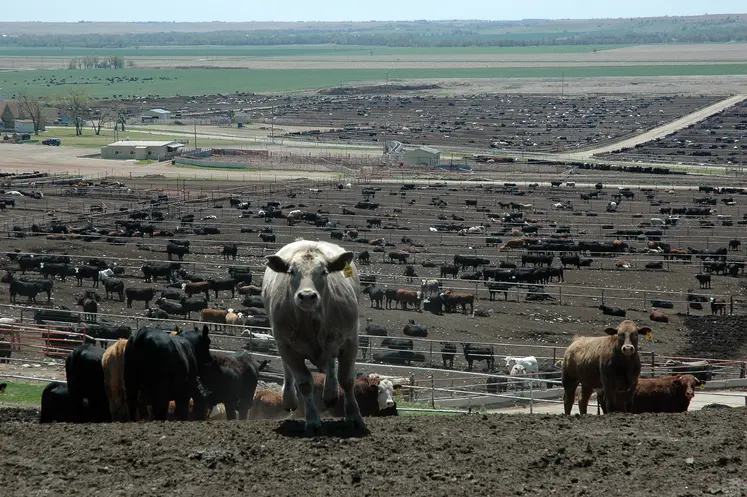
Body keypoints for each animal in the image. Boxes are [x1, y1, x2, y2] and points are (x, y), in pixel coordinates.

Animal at [262, 238, 368, 432]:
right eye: (291, 271)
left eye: (324, 272)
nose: (307, 296)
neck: (313, 323)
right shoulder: (287, 346)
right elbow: (304, 383)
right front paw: (312, 420)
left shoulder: (350, 341)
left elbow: (347, 379)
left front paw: (354, 416)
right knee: (288, 370)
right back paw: (289, 398)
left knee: (331, 363)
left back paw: (330, 393)